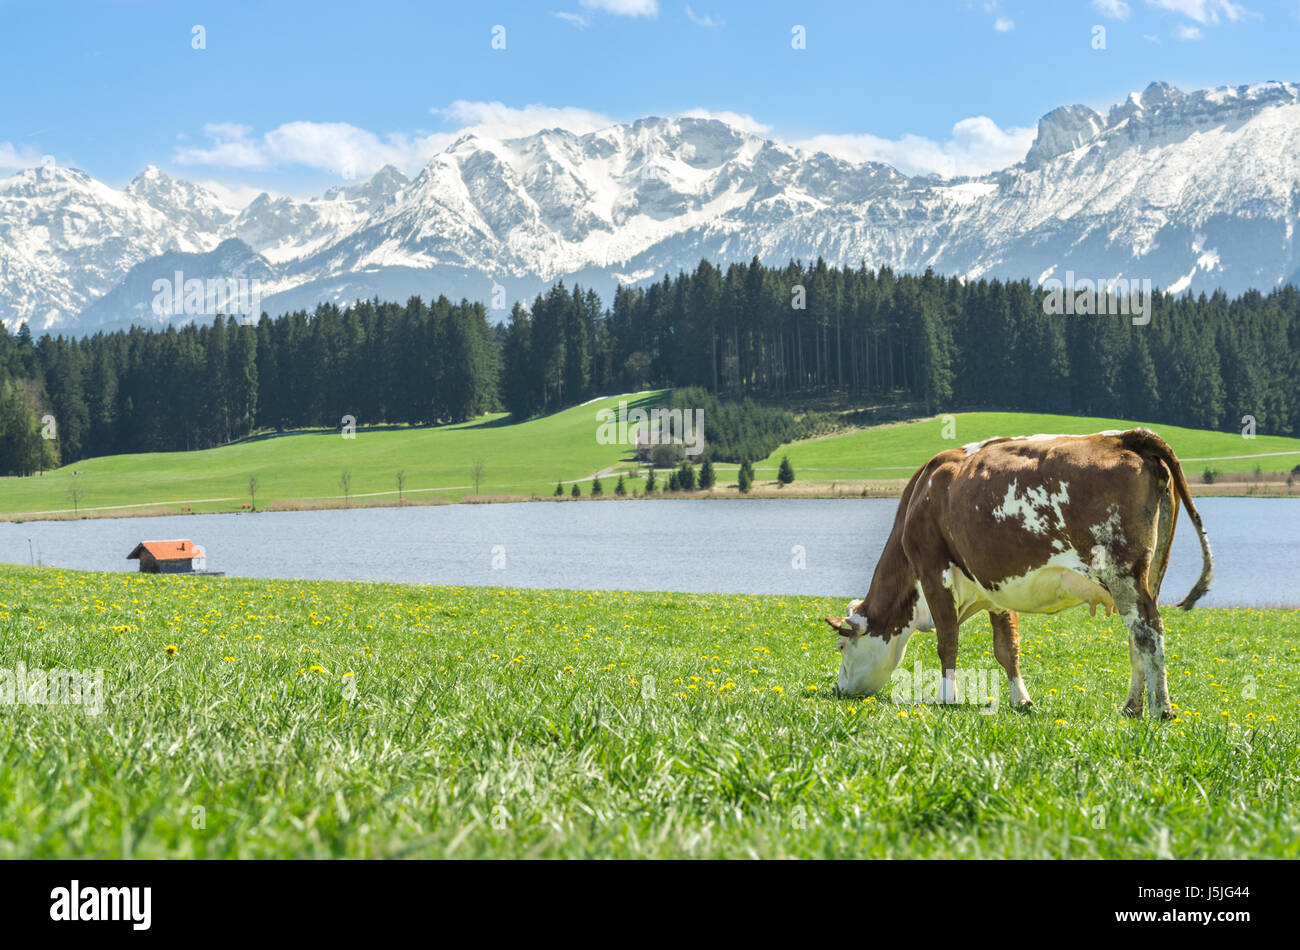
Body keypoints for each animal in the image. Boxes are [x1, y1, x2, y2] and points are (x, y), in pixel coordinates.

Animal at [826, 426, 1211, 717]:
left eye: (842, 647)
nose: (840, 688)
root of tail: (1126, 437)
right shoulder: (995, 586)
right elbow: (1007, 648)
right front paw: (1022, 699)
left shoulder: (934, 572)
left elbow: (947, 641)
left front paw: (947, 698)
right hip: (1152, 571)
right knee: (1138, 636)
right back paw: (1132, 707)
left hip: (1122, 571)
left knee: (1147, 631)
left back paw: (1161, 709)